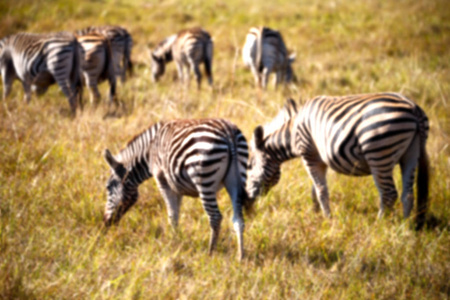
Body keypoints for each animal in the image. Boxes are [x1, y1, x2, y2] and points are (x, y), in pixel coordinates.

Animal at [104, 119, 251, 260]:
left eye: (108, 187)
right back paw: (241, 256)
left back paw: (210, 253)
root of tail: (228, 132)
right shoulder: (176, 186)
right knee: (238, 219)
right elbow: (176, 215)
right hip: (237, 179)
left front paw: (172, 243)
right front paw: (176, 240)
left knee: (215, 217)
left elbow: (171, 215)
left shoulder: (163, 181)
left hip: (205, 180)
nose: (105, 223)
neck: (149, 152)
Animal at [248, 92, 430, 229]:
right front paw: (316, 213)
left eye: (249, 166)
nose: (248, 199)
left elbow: (321, 190)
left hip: (379, 153)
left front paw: (327, 219)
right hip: (411, 155)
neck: (292, 133)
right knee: (408, 194)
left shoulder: (309, 154)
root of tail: (414, 108)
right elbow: (315, 189)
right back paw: (405, 228)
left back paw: (379, 225)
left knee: (389, 194)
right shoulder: (320, 159)